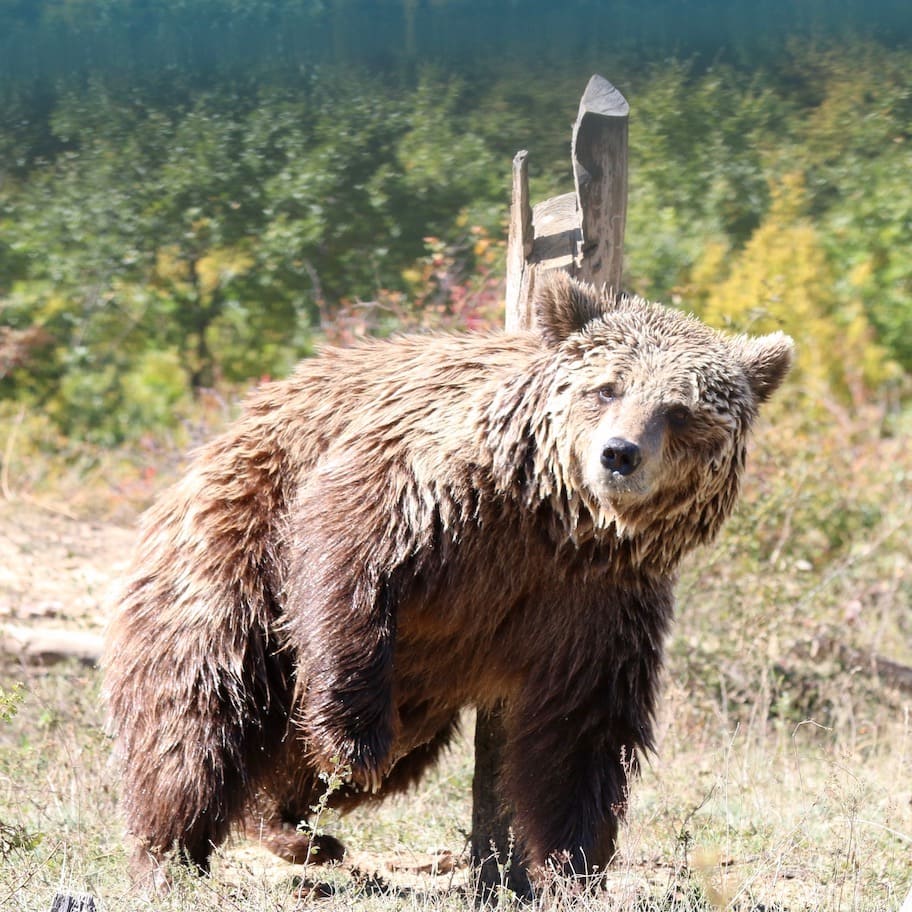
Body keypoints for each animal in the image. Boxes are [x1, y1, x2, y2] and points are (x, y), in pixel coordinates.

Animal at [103, 271, 793, 889]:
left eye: (679, 410)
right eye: (607, 388)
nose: (619, 453)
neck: (557, 521)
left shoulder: (599, 600)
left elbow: (581, 729)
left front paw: (574, 862)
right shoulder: (433, 492)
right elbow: (346, 559)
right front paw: (353, 747)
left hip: (419, 687)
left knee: (378, 750)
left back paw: (300, 831)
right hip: (232, 563)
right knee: (196, 717)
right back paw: (171, 857)